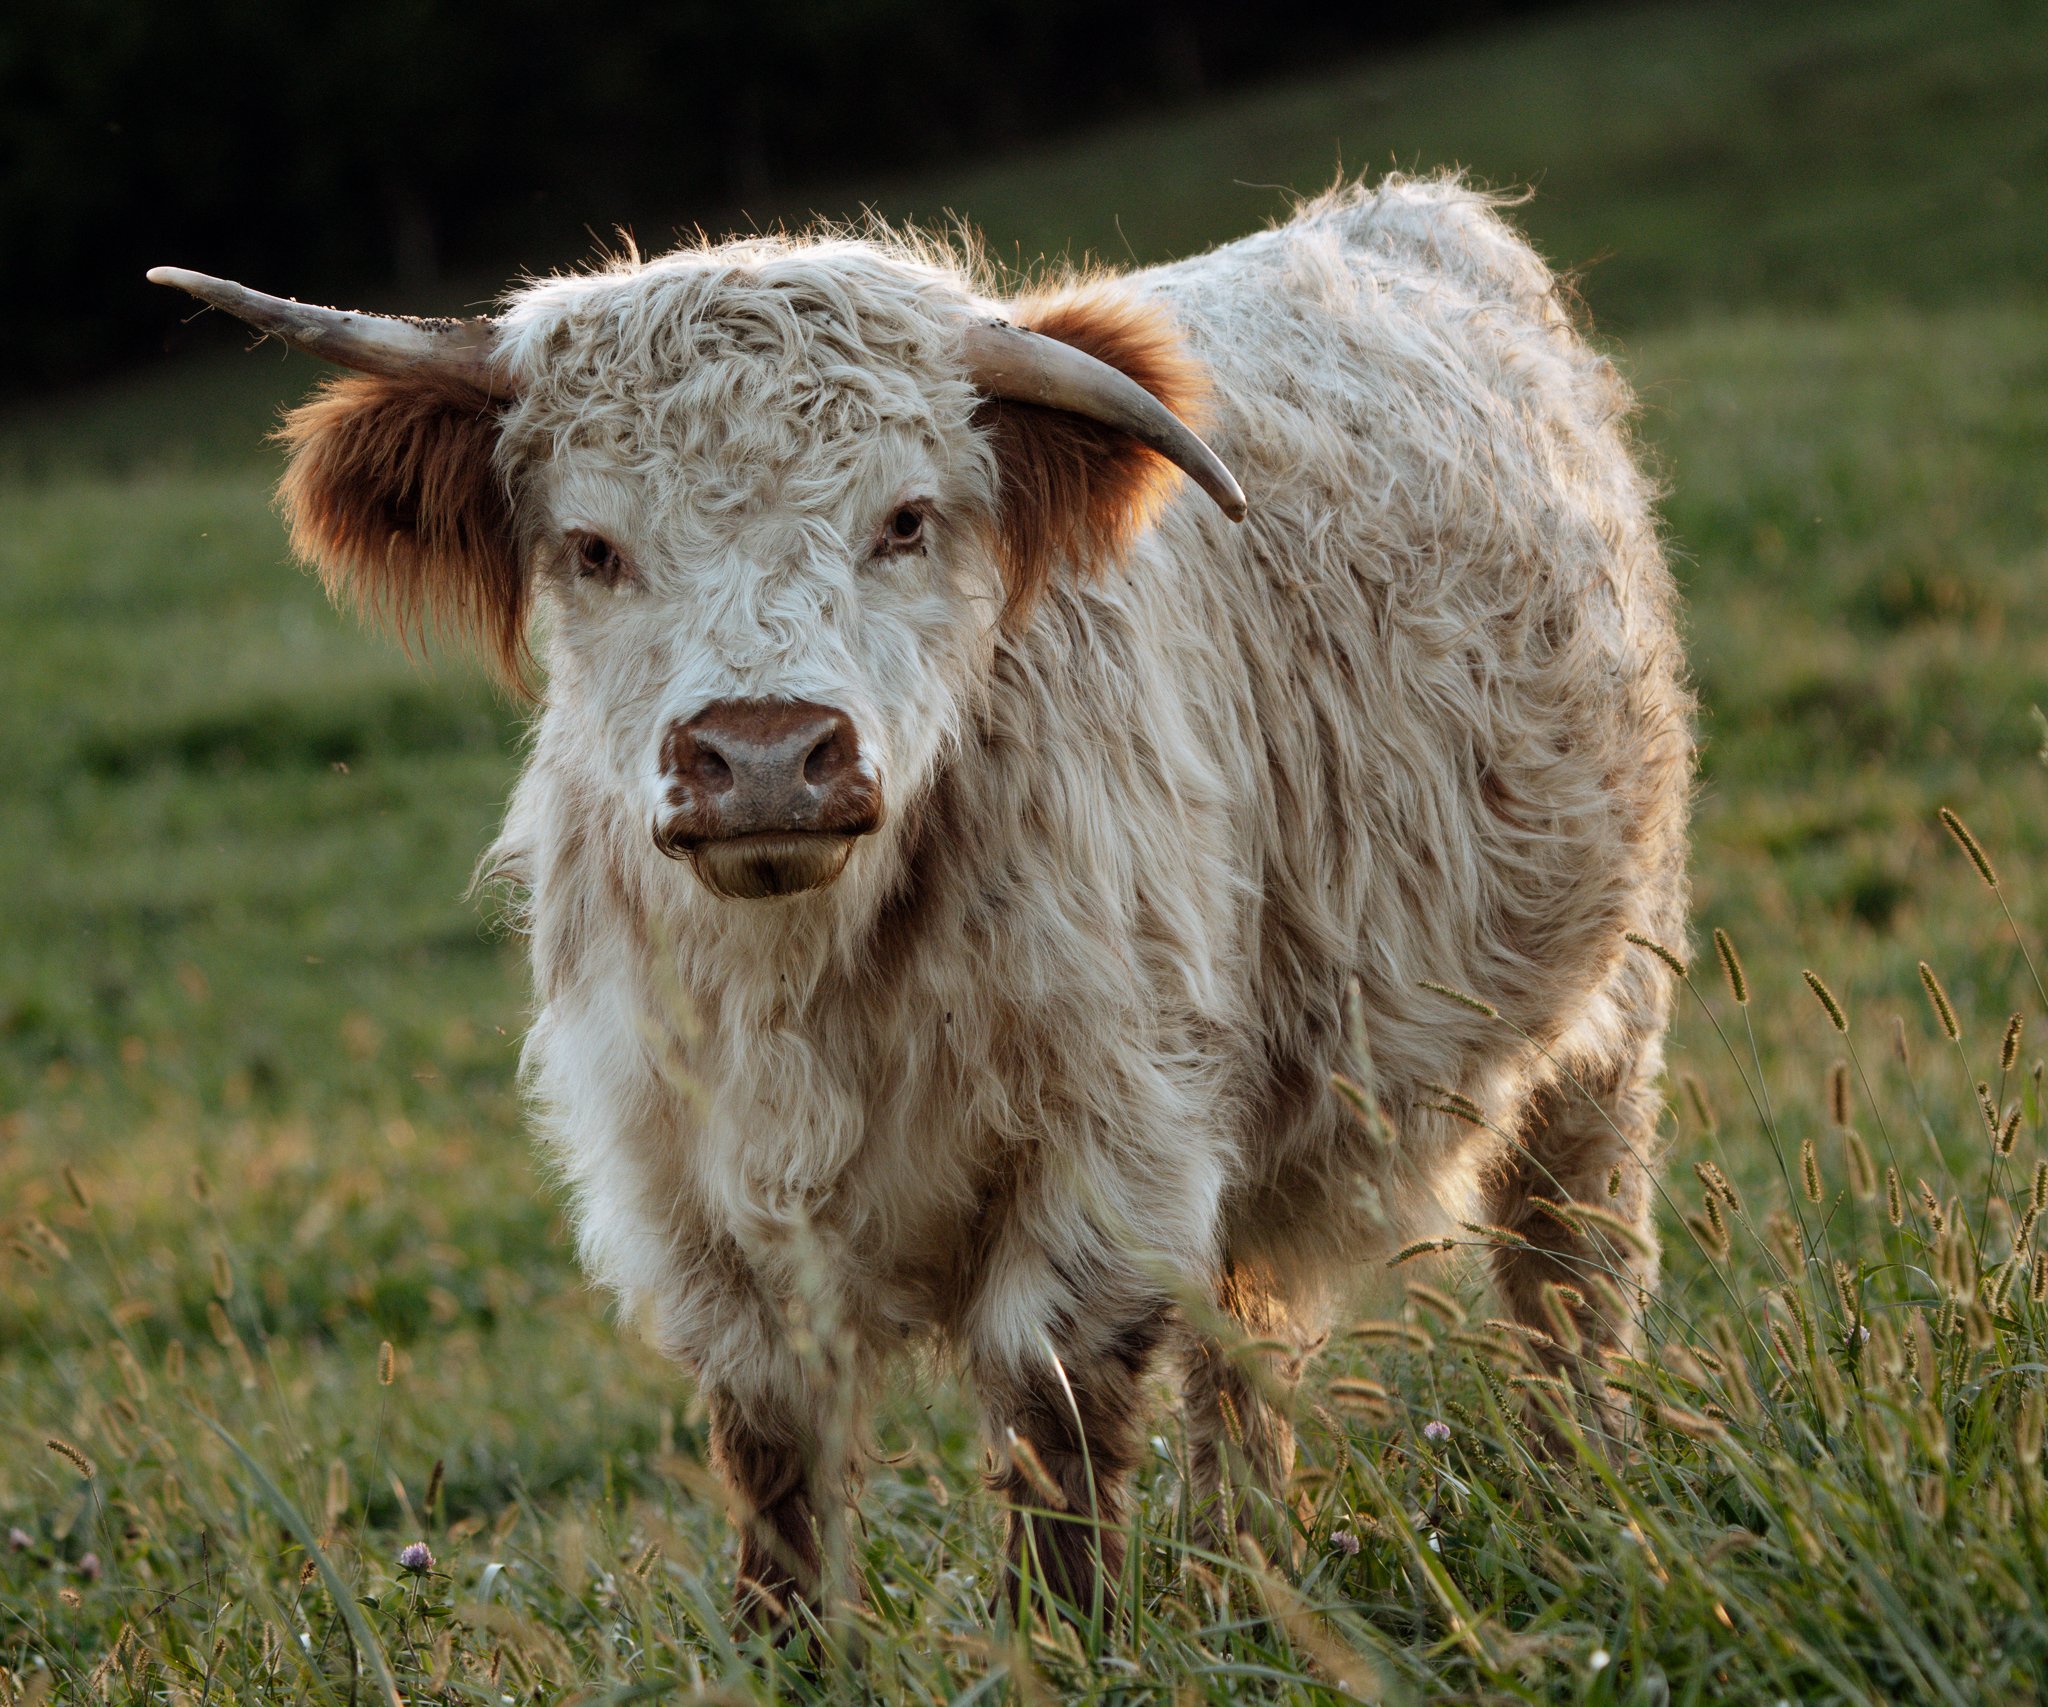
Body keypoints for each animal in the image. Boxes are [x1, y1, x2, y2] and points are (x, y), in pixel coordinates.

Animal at [151, 173, 1692, 1628]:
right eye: (591, 546)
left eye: (902, 520)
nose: (764, 754)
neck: (800, 980)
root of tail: (1408, 216)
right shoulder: (681, 1188)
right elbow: (773, 1464)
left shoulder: (1114, 1141)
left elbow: (1053, 1425)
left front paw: (1066, 1647)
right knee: (1250, 1348)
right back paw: (1248, 1568)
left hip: (1606, 1026)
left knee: (1567, 1270)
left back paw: (1583, 1489)